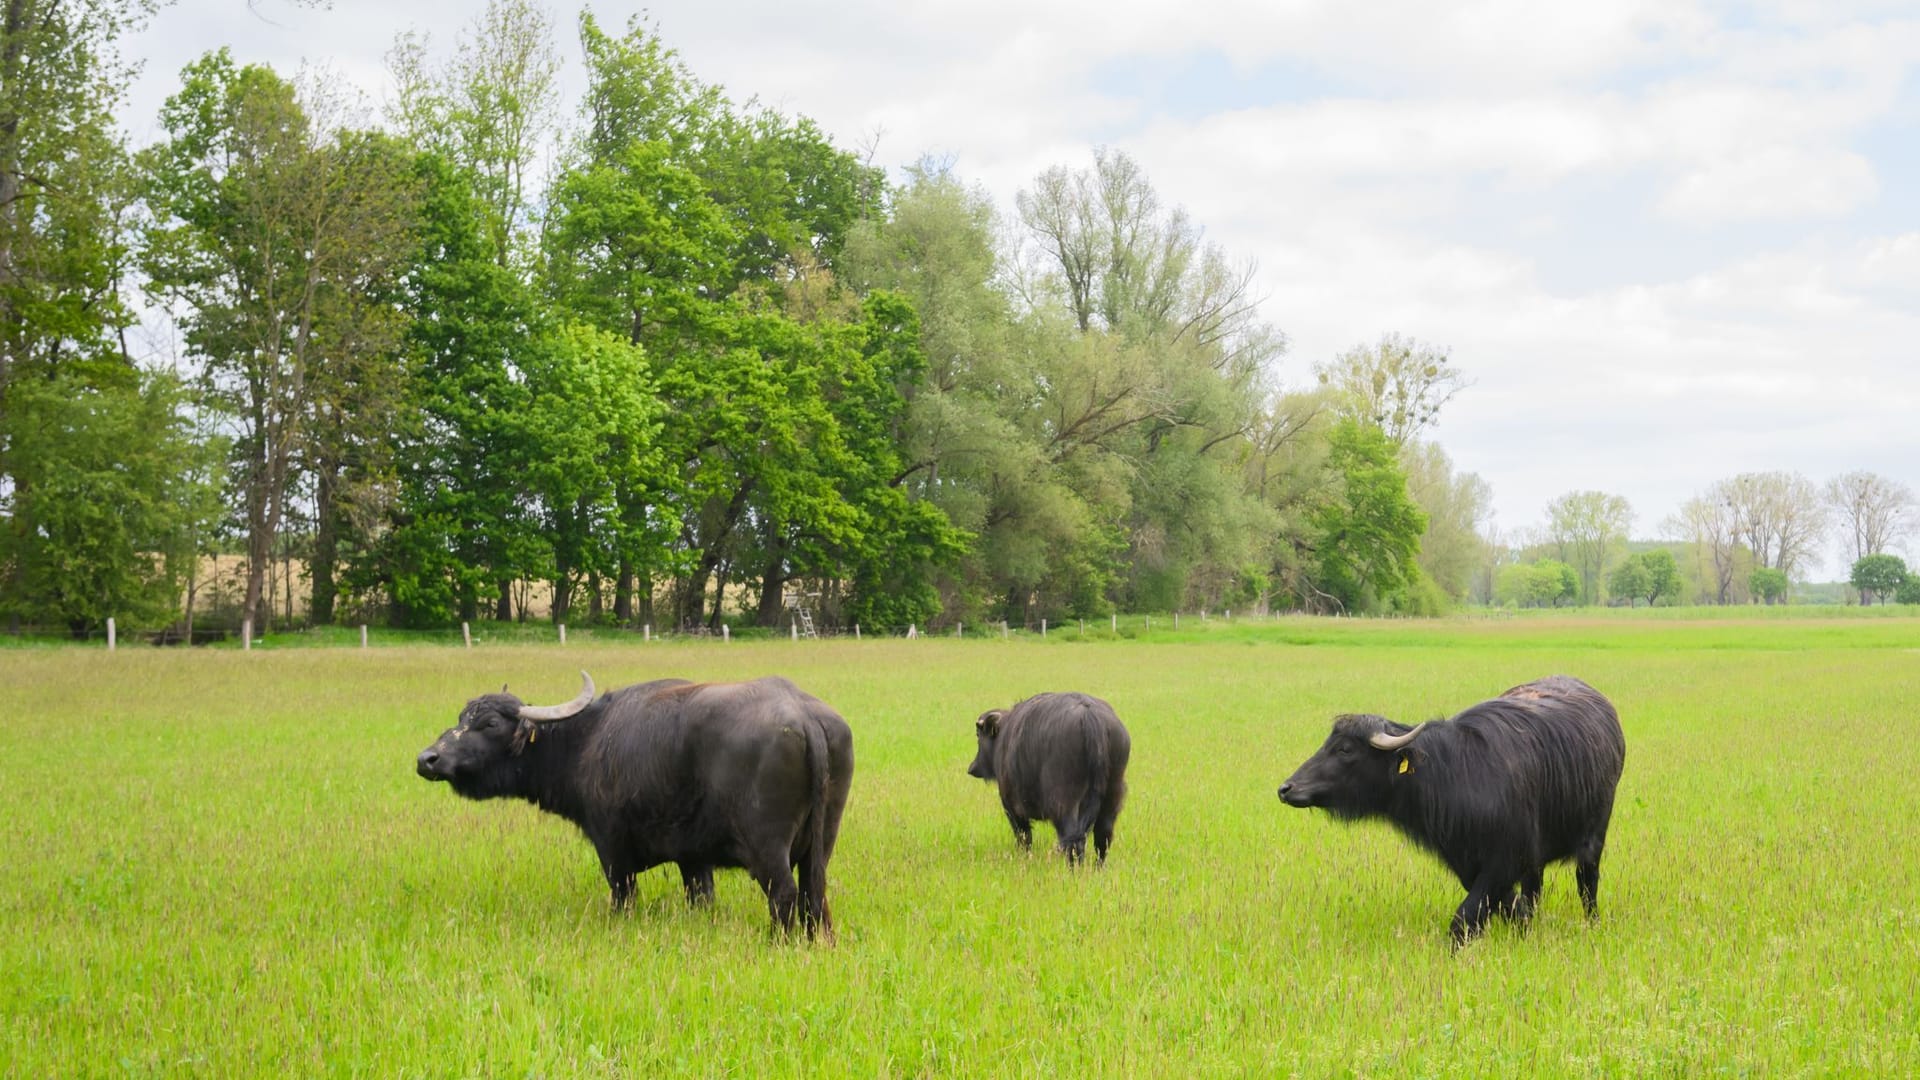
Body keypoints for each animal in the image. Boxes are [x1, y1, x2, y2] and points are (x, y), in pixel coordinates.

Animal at [418, 664, 856, 933]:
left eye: (490, 724)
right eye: (461, 718)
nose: (428, 759)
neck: (587, 739)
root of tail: (803, 715)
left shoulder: (612, 847)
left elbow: (623, 895)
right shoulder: (693, 858)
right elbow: (702, 897)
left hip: (767, 846)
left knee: (783, 893)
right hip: (824, 840)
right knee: (814, 890)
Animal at [967, 687, 1128, 864]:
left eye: (978, 735)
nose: (972, 768)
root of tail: (1091, 719)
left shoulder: (1011, 807)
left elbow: (1024, 837)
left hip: (1064, 801)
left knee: (1072, 838)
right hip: (1113, 796)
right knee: (1102, 836)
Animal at [1282, 672, 1628, 941]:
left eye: (1345, 749)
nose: (1287, 788)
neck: (1455, 776)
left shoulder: (1504, 860)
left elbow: (1465, 917)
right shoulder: (1469, 862)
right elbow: (1506, 906)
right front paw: (1522, 928)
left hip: (1594, 837)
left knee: (1587, 883)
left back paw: (1593, 922)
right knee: (1535, 890)